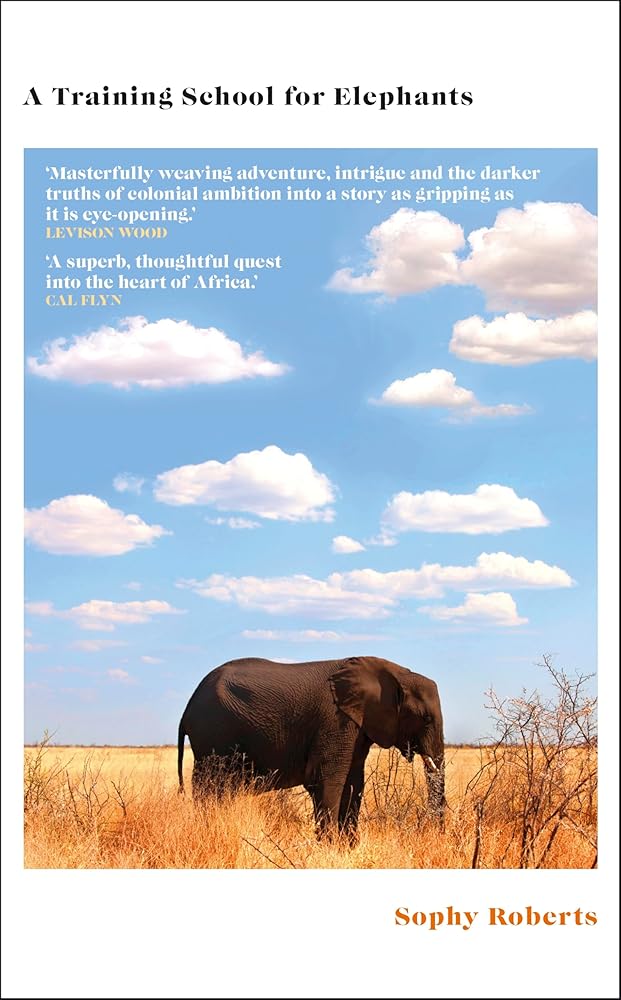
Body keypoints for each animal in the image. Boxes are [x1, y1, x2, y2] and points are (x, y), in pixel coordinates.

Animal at [178, 655, 445, 842]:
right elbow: (326, 781)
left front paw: (347, 848)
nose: (437, 835)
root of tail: (187, 710)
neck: (395, 673)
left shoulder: (356, 726)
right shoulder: (335, 721)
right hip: (212, 736)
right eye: (424, 718)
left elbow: (353, 784)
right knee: (209, 788)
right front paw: (329, 848)